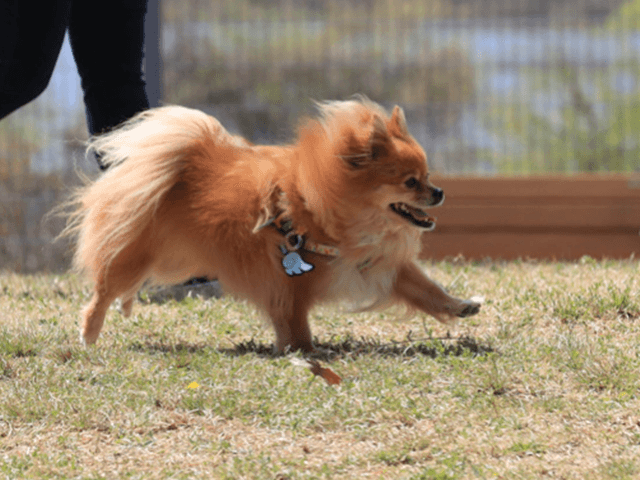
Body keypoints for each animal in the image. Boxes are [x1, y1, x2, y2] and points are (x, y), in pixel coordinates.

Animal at [63, 98, 480, 352]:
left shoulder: (377, 263)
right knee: (102, 291)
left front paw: (460, 306)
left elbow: (426, 288)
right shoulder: (286, 279)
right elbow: (295, 320)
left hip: (167, 260)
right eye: (410, 182)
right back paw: (89, 333)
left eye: (428, 176)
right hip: (137, 255)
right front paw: (303, 350)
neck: (326, 204)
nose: (439, 192)